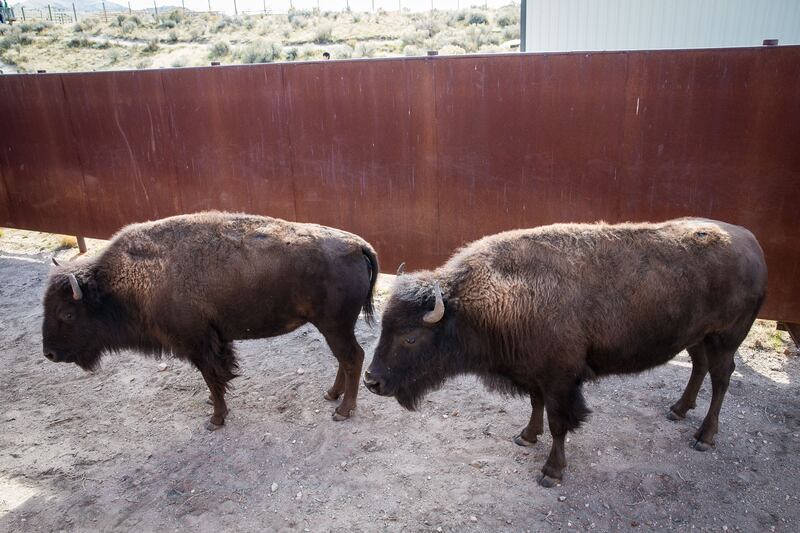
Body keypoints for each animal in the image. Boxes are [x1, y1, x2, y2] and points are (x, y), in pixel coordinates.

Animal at [43, 212, 378, 429]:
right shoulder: (215, 340)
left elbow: (213, 378)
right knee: (345, 359)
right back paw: (331, 395)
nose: (49, 353)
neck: (122, 284)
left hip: (334, 326)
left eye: (67, 314)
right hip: (332, 327)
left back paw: (342, 411)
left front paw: (215, 419)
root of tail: (357, 245)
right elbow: (217, 378)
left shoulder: (199, 344)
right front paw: (213, 409)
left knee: (353, 358)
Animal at [364, 218, 767, 486]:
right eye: (385, 327)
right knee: (699, 368)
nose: (371, 381)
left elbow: (560, 423)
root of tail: (752, 243)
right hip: (697, 337)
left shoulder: (561, 379)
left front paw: (551, 472)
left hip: (725, 338)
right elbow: (535, 404)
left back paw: (704, 437)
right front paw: (526, 436)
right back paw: (678, 410)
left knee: (721, 378)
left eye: (410, 337)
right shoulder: (536, 374)